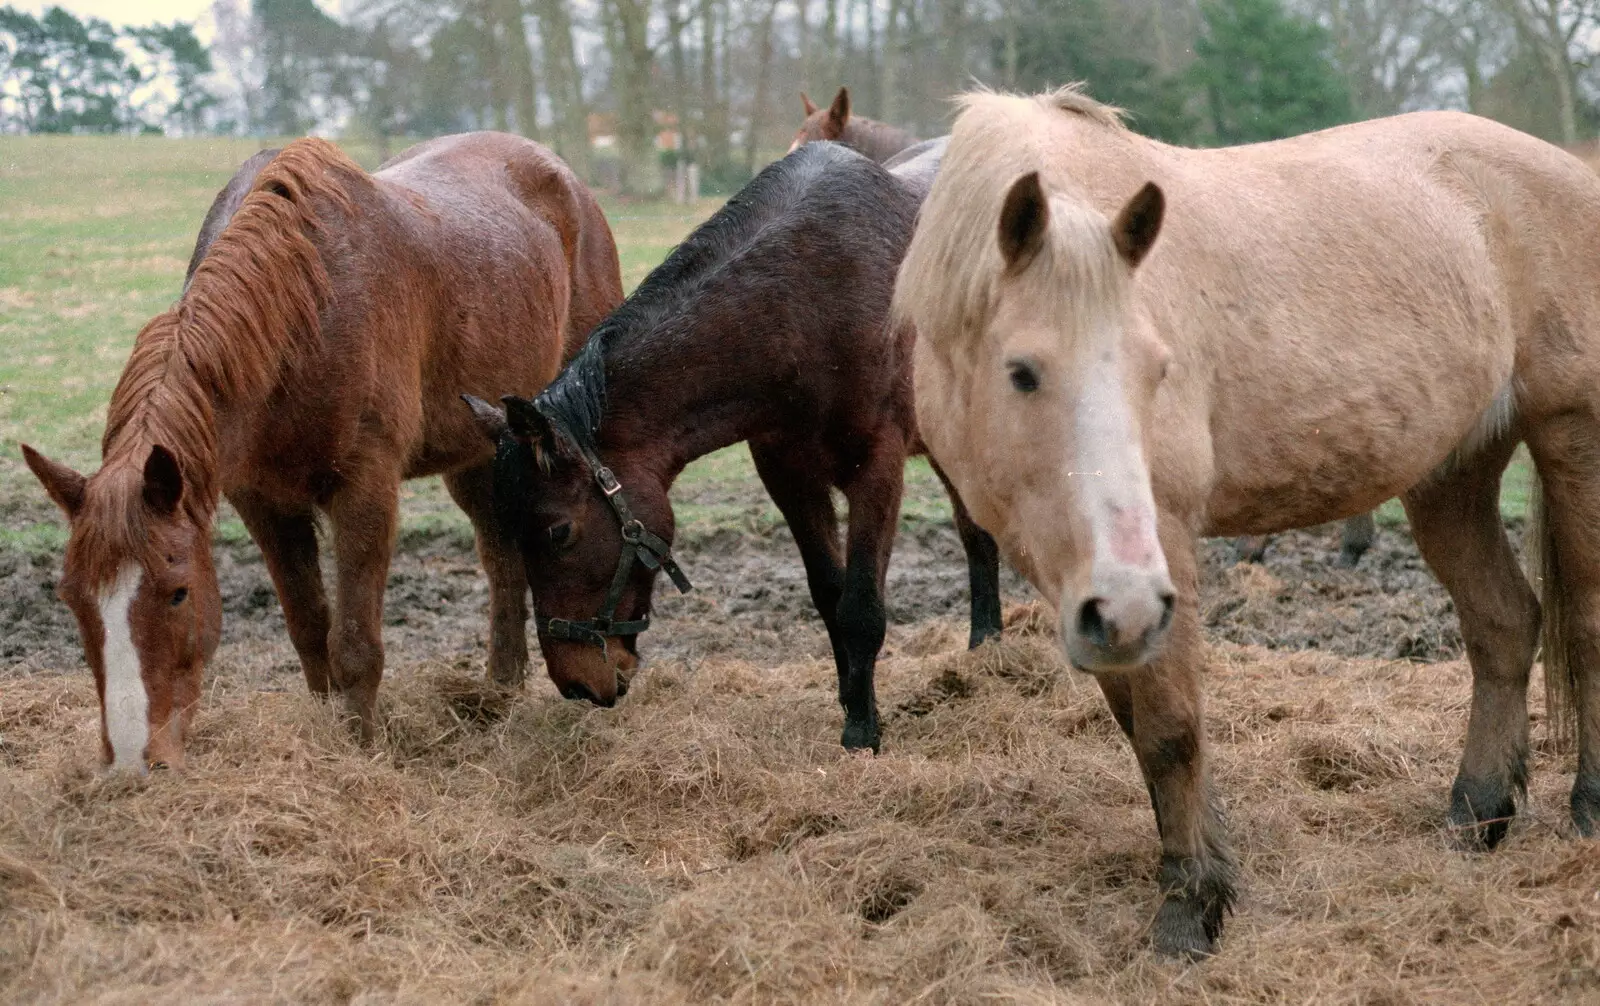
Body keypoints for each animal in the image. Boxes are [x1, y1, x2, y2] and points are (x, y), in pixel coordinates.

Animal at [28, 133, 624, 774]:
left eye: (178, 591)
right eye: (70, 598)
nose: (133, 759)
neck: (301, 313)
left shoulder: (365, 489)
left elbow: (356, 642)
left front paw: (361, 749)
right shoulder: (262, 502)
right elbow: (309, 629)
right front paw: (325, 733)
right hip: (478, 452)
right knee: (501, 556)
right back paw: (499, 695)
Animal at [464, 143, 1004, 754]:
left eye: (558, 532)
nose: (577, 683)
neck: (807, 303)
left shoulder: (877, 470)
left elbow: (861, 606)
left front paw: (863, 733)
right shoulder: (788, 475)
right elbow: (829, 595)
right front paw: (850, 702)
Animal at [896, 86, 1600, 959]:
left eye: (1159, 368)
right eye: (1021, 372)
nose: (1127, 600)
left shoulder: (1160, 547)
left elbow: (1170, 728)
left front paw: (1189, 910)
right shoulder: (1074, 577)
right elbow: (1135, 721)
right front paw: (1202, 873)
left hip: (1572, 432)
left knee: (1586, 624)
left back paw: (1588, 806)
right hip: (1451, 472)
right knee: (1503, 623)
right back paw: (1476, 814)